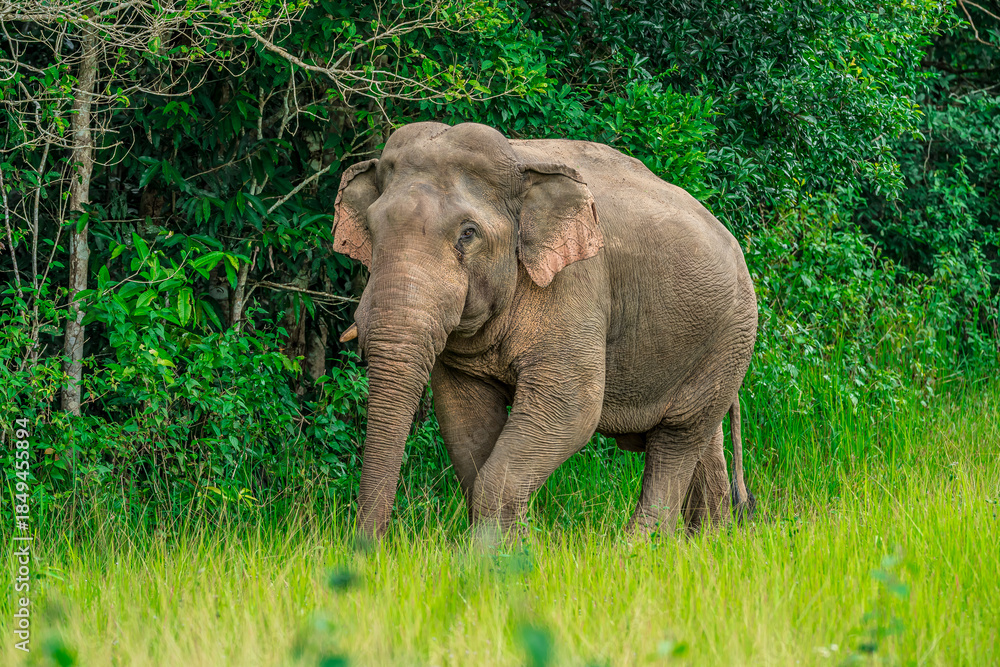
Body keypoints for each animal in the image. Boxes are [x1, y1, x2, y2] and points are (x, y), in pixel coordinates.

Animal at [331, 122, 757, 539]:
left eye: (468, 233)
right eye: (371, 228)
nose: (368, 550)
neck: (519, 161)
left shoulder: (576, 284)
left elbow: (572, 408)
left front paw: (494, 552)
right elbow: (464, 419)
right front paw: (510, 546)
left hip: (730, 335)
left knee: (678, 438)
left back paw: (641, 546)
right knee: (701, 439)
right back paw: (705, 541)